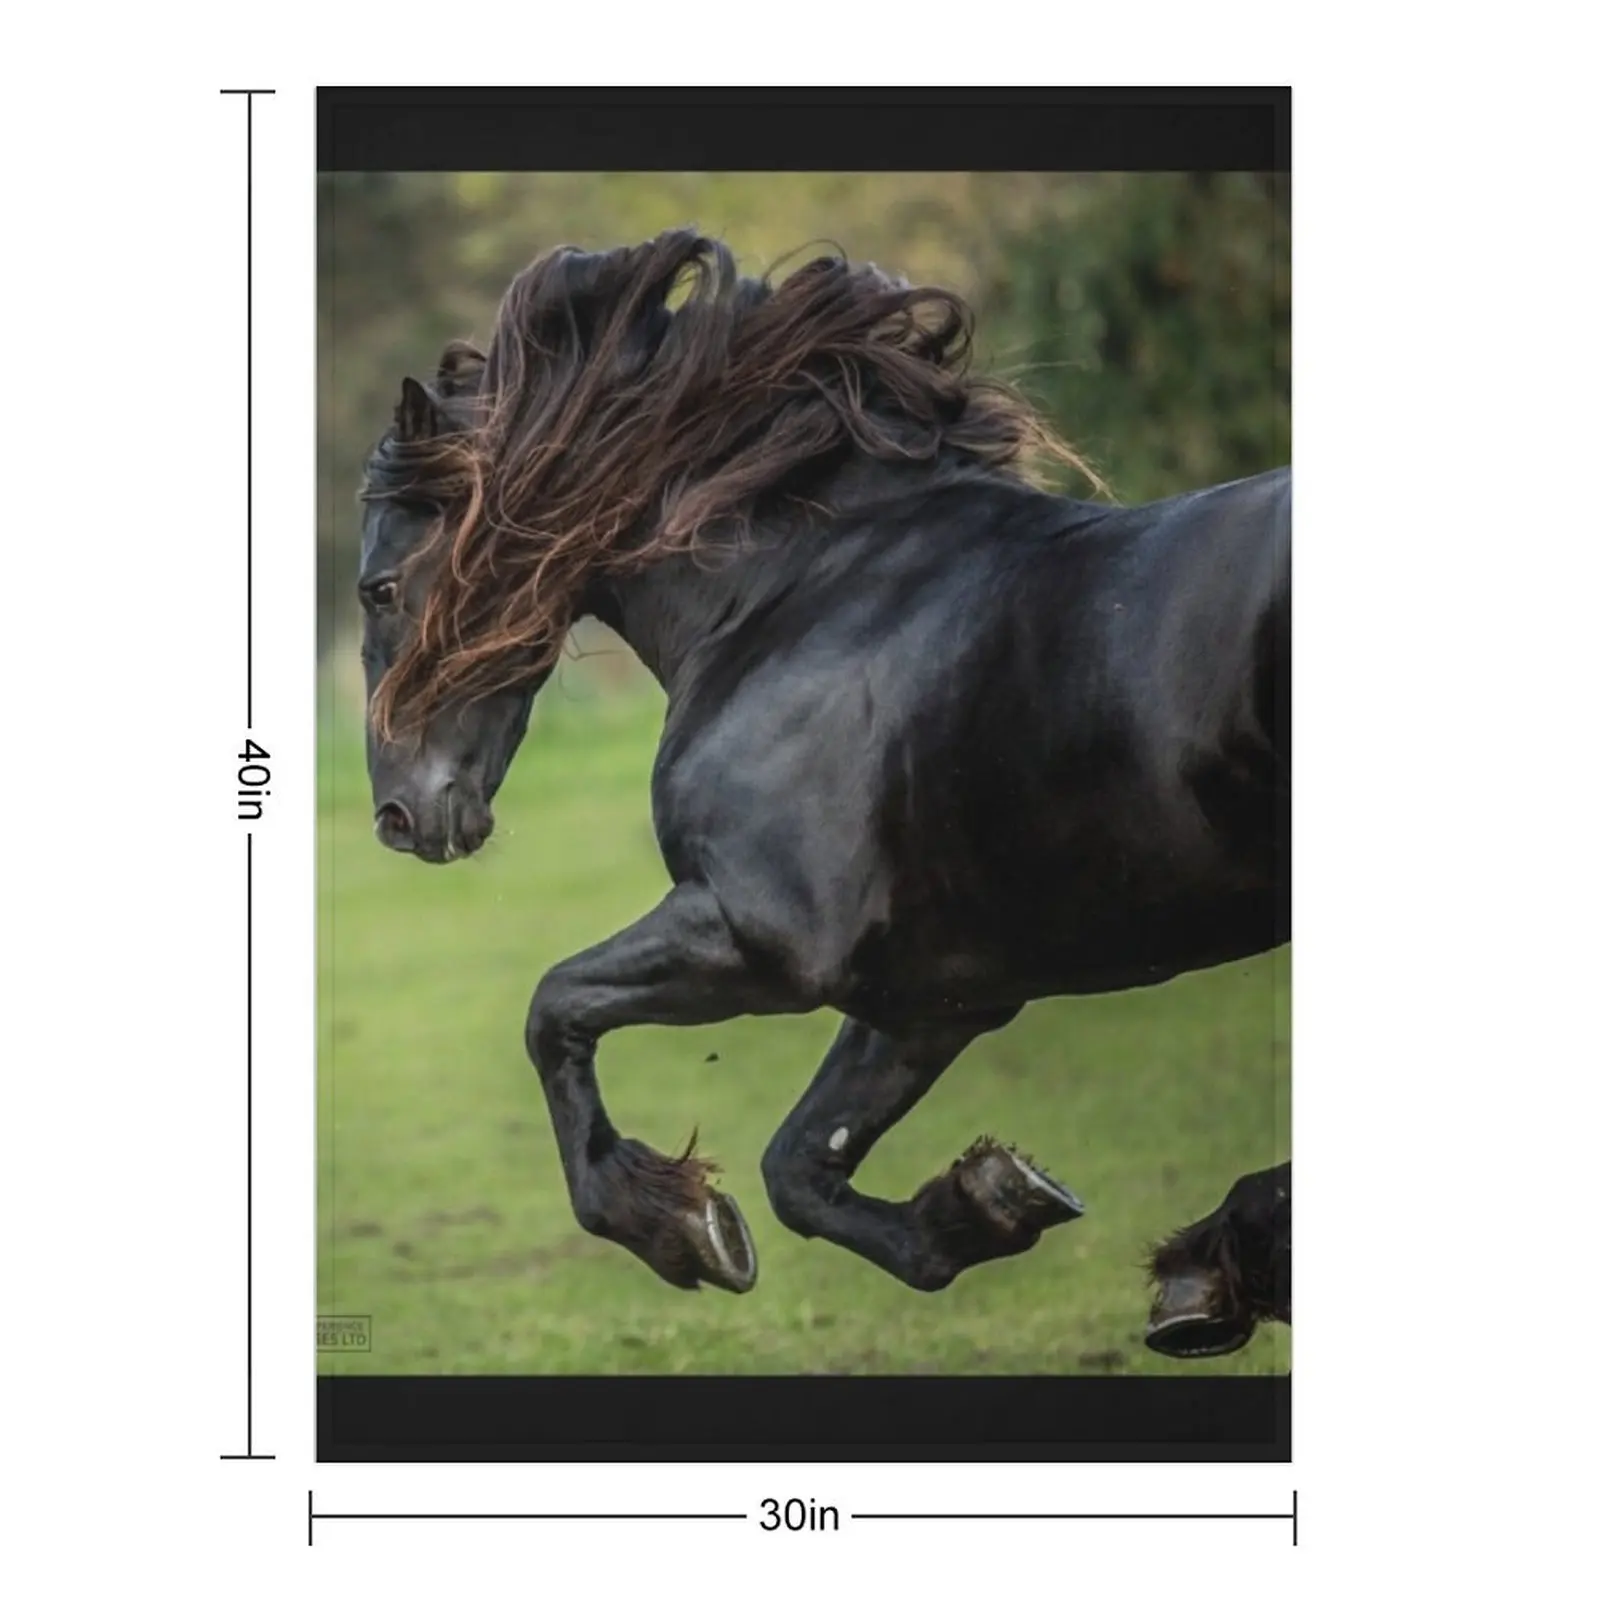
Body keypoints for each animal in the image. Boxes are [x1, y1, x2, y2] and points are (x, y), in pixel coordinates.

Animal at [356, 229, 1290, 1299]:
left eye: (379, 587)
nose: (397, 816)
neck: (793, 593)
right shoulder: (934, 993)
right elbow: (800, 1168)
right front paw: (985, 1205)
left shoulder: (768, 938)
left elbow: (551, 1009)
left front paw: (672, 1227)